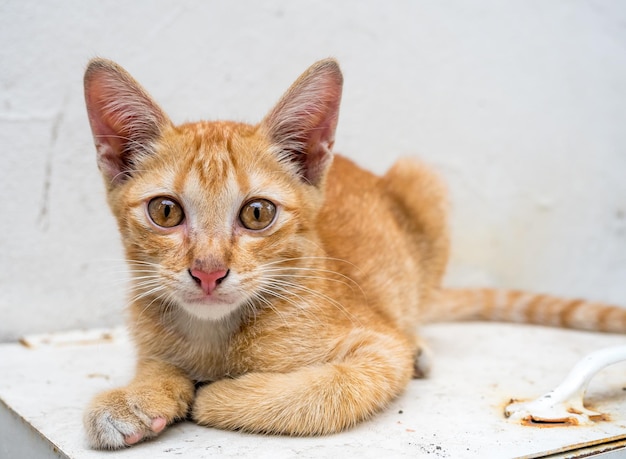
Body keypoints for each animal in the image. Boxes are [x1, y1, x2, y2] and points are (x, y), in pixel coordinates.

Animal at [83, 57, 624, 450]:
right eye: (165, 212)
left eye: (257, 213)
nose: (209, 272)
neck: (214, 335)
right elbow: (158, 364)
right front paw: (137, 396)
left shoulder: (378, 348)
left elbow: (327, 390)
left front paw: (218, 396)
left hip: (421, 181)